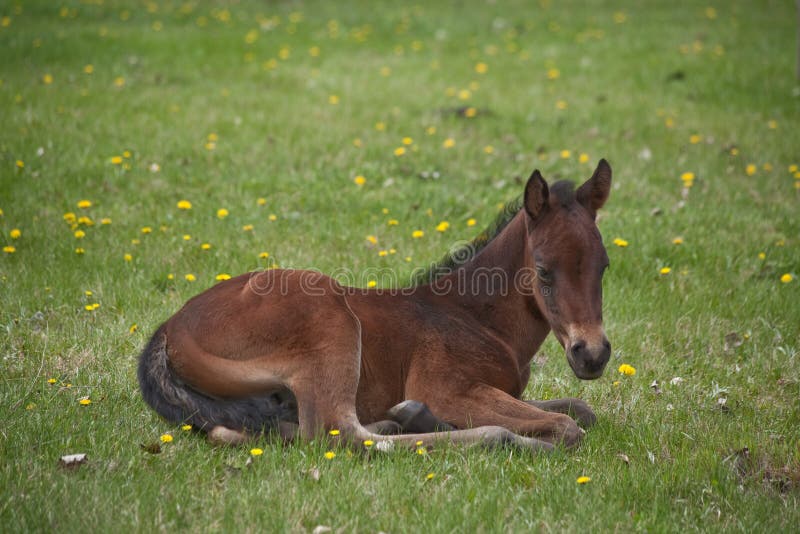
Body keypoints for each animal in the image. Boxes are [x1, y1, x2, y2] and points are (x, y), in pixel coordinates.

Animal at [138, 160, 613, 452]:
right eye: (544, 270)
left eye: (604, 265)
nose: (592, 354)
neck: (477, 318)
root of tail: (167, 330)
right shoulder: (446, 388)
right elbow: (567, 426)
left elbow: (581, 409)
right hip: (329, 322)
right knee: (340, 433)